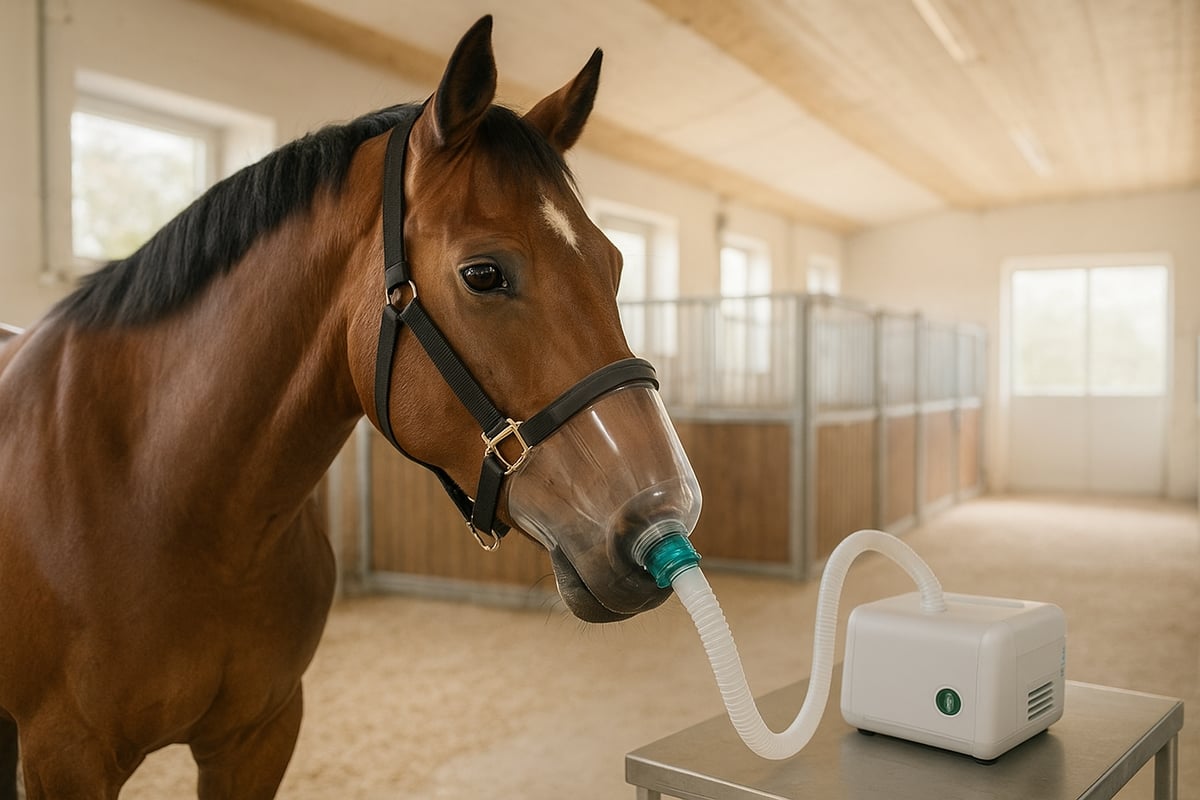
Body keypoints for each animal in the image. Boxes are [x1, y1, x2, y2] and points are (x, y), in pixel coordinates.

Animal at [0, 16, 694, 798]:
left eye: (615, 265)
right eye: (483, 273)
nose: (660, 510)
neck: (158, 495)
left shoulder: (258, 735)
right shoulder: (65, 754)